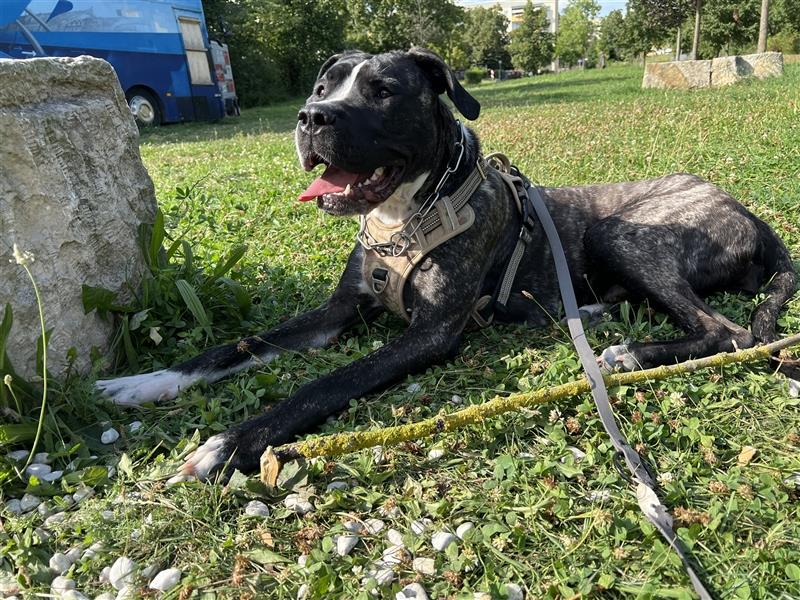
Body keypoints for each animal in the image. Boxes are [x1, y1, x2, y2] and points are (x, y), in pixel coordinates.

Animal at [97, 47, 796, 480]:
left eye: (382, 92)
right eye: (322, 88)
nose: (310, 117)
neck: (403, 218)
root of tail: (747, 210)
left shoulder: (429, 332)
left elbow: (326, 382)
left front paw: (230, 444)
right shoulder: (336, 311)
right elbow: (237, 346)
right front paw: (143, 383)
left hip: (621, 232)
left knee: (728, 332)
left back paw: (631, 354)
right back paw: (599, 314)